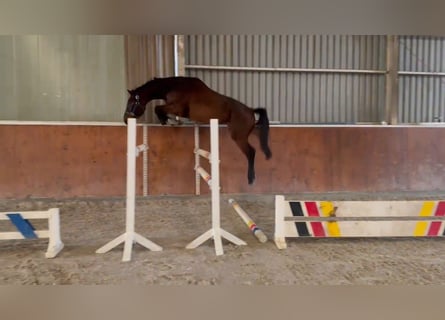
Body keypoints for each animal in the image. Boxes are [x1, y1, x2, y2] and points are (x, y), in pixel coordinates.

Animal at [123, 76, 272, 184]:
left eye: (131, 103)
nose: (125, 119)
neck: (175, 86)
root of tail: (250, 111)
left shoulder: (177, 108)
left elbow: (158, 108)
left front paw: (165, 120)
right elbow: (160, 109)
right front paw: (169, 120)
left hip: (238, 137)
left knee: (251, 152)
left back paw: (251, 179)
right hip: (248, 132)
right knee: (257, 140)